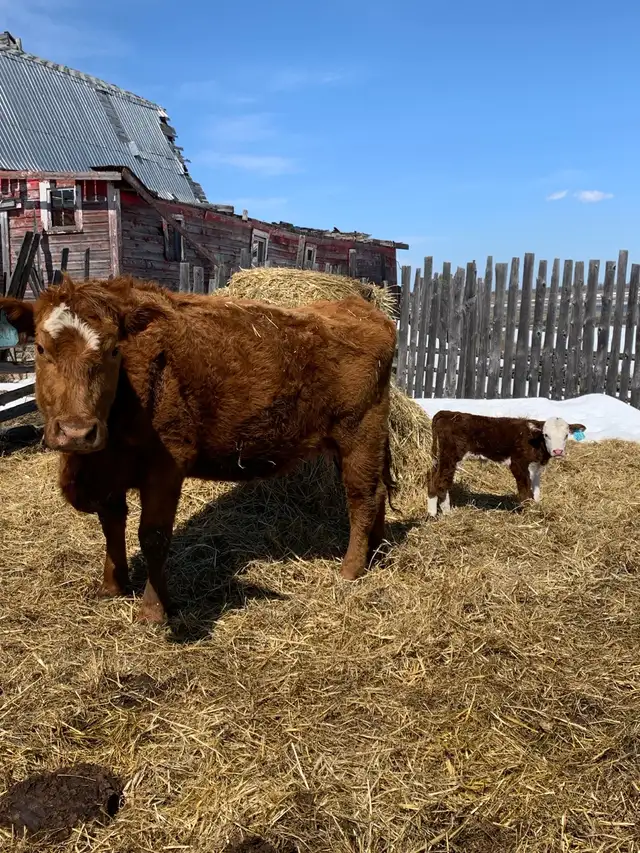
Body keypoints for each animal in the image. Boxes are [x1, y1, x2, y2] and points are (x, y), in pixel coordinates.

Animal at [0, 276, 397, 623]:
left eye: (114, 350)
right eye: (41, 349)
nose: (77, 432)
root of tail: (363, 309)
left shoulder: (166, 465)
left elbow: (153, 537)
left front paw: (154, 611)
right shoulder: (108, 474)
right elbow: (112, 526)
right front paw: (112, 587)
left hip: (360, 432)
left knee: (362, 497)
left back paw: (351, 569)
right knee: (376, 493)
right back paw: (375, 552)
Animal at [427, 411, 586, 516]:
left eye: (566, 435)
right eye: (546, 435)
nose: (558, 451)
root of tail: (446, 413)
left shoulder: (536, 467)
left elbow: (536, 491)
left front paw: (537, 508)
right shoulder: (518, 464)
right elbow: (525, 491)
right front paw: (530, 513)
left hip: (438, 458)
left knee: (433, 480)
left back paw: (434, 514)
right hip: (450, 456)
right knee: (441, 483)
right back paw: (445, 514)